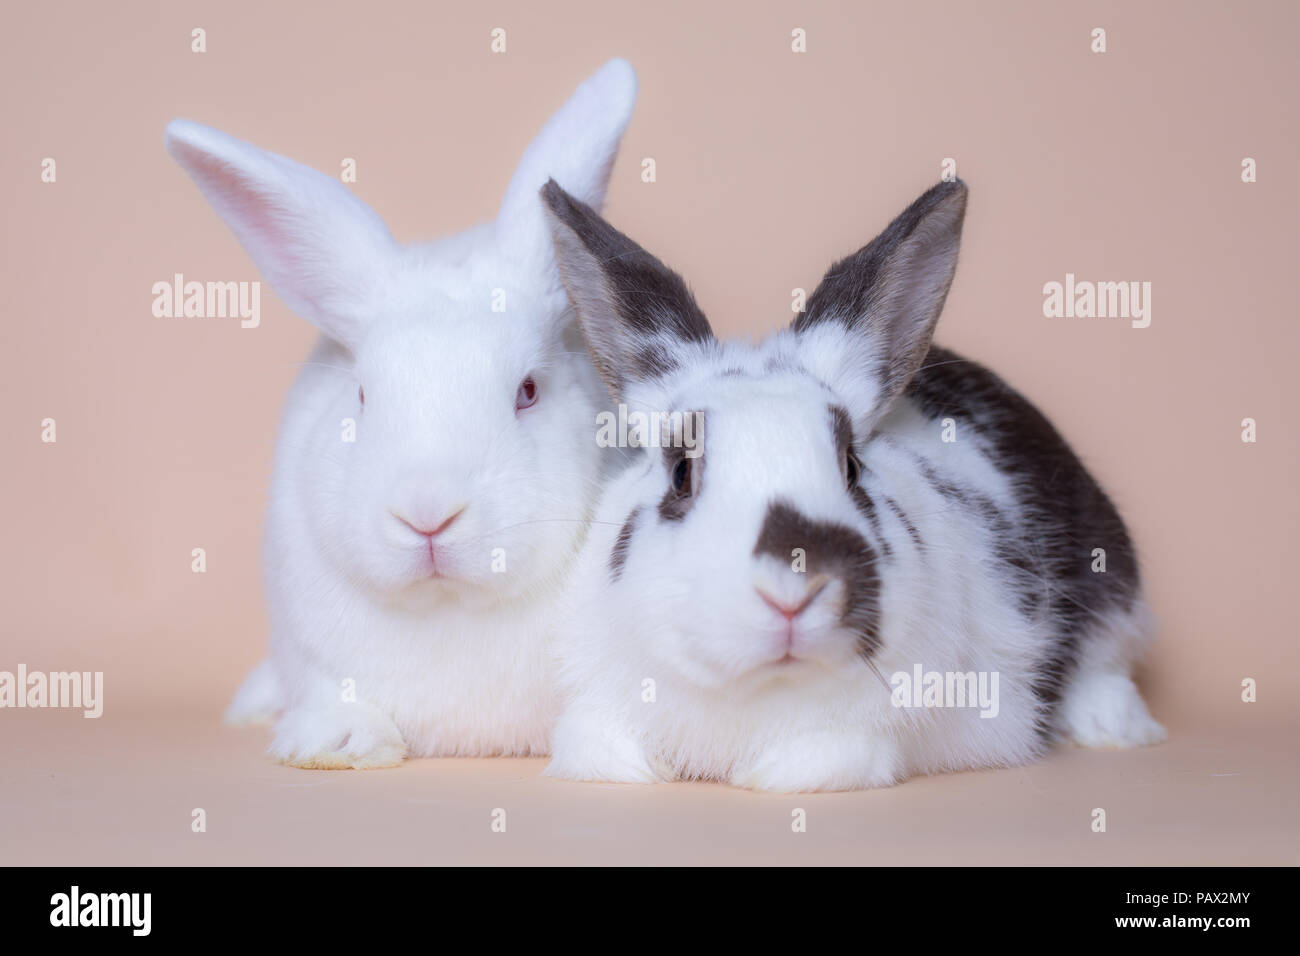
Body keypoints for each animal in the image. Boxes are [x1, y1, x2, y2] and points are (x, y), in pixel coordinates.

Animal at [538, 177, 1166, 793]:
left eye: (851, 467)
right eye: (681, 473)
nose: (792, 592)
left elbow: (831, 755)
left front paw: (770, 775)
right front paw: (638, 770)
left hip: (1113, 583)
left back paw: (1112, 729)